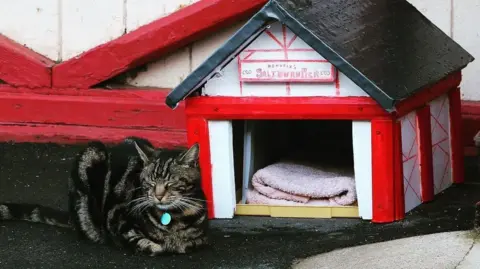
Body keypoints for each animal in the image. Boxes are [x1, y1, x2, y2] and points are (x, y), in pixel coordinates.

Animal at [0, 137, 208, 254]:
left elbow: (191, 242)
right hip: (91, 152)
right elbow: (153, 246)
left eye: (170, 183)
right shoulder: (120, 228)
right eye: (149, 183)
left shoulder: (200, 237)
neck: (175, 219)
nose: (157, 196)